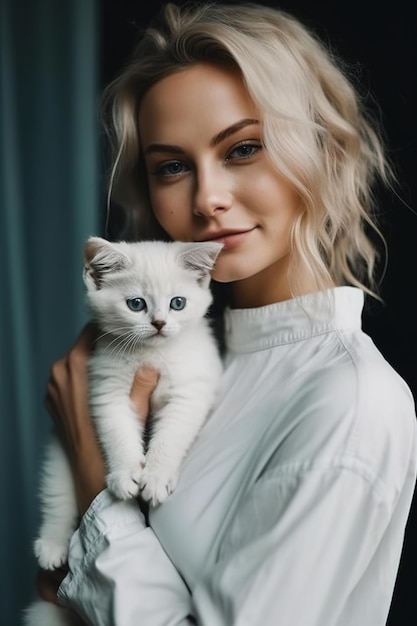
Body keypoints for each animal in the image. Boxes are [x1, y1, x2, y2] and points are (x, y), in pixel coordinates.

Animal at [24, 236, 223, 620]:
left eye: (178, 303)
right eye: (136, 304)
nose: (159, 323)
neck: (152, 354)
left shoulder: (191, 389)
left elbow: (171, 435)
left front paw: (156, 477)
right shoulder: (107, 387)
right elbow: (116, 432)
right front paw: (126, 473)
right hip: (58, 452)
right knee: (56, 495)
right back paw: (52, 544)